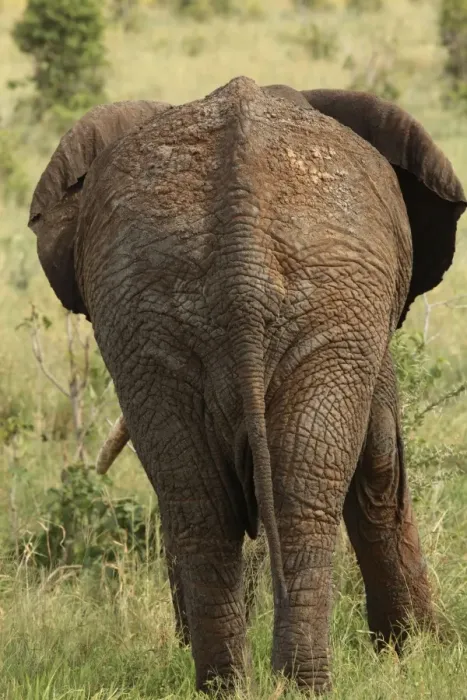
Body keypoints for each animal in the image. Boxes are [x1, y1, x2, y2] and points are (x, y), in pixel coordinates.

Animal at [28, 77, 465, 694]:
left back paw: (226, 687)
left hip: (147, 316)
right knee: (299, 496)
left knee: (202, 504)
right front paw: (418, 650)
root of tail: (243, 260)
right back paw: (303, 686)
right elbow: (381, 462)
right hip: (322, 308)